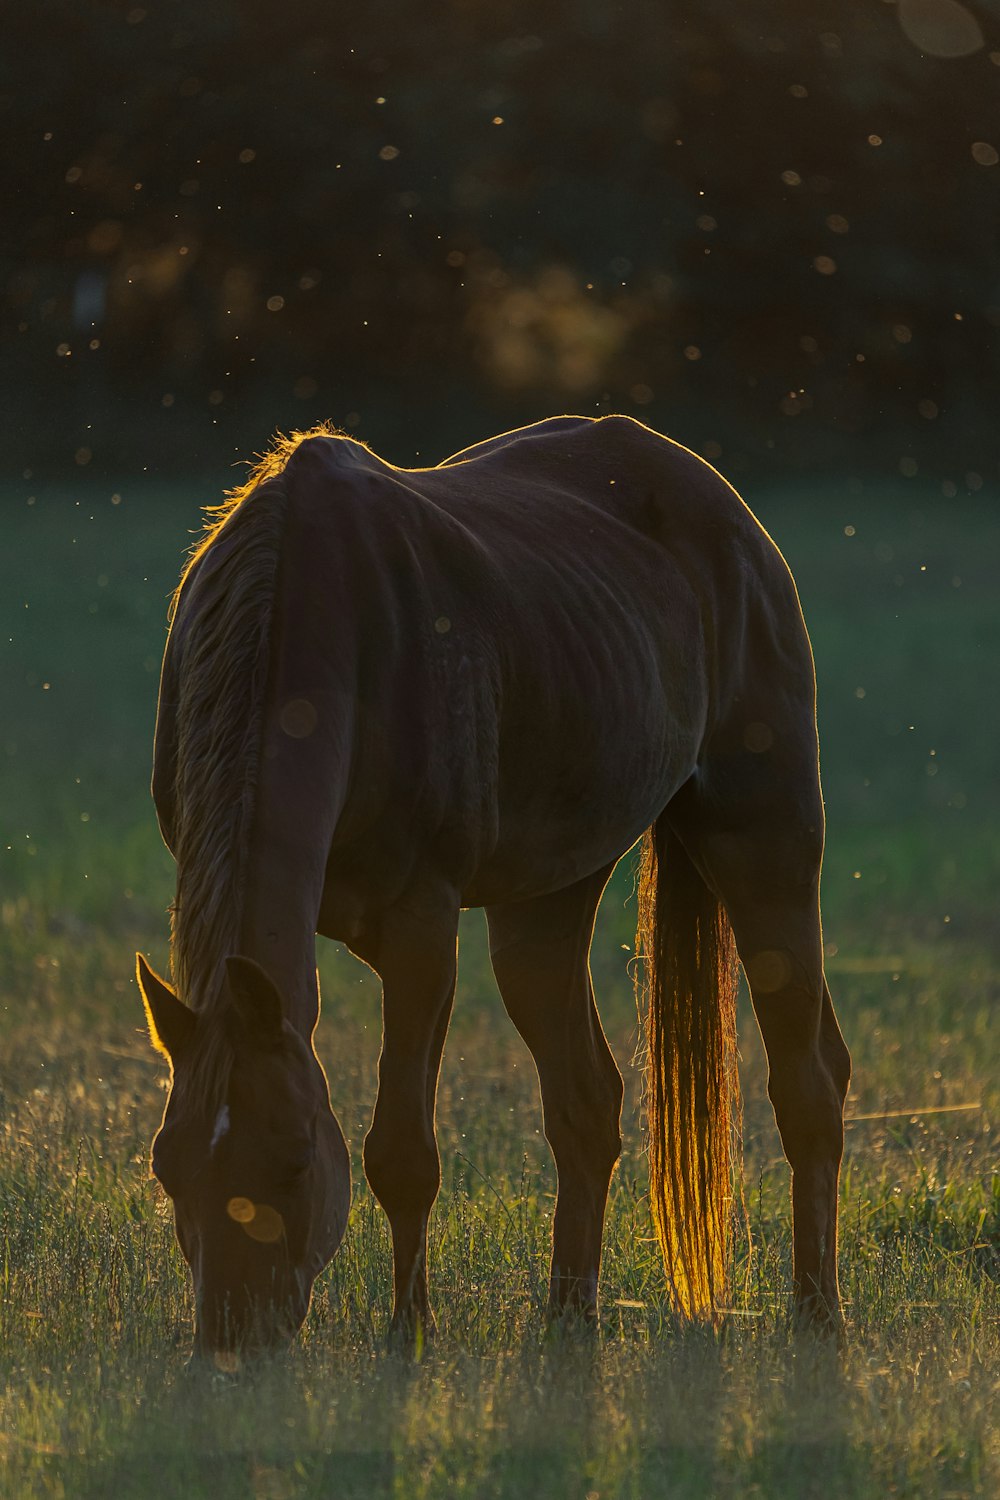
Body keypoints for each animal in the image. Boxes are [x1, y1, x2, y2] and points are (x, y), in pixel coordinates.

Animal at [134, 411, 851, 1362]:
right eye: (167, 1165)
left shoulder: (420, 929)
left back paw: (818, 1316)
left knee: (810, 1083)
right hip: (544, 902)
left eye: (294, 1157)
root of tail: (727, 511)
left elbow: (400, 1153)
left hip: (766, 842)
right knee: (586, 1103)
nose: (232, 1338)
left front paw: (407, 1337)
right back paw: (568, 1322)